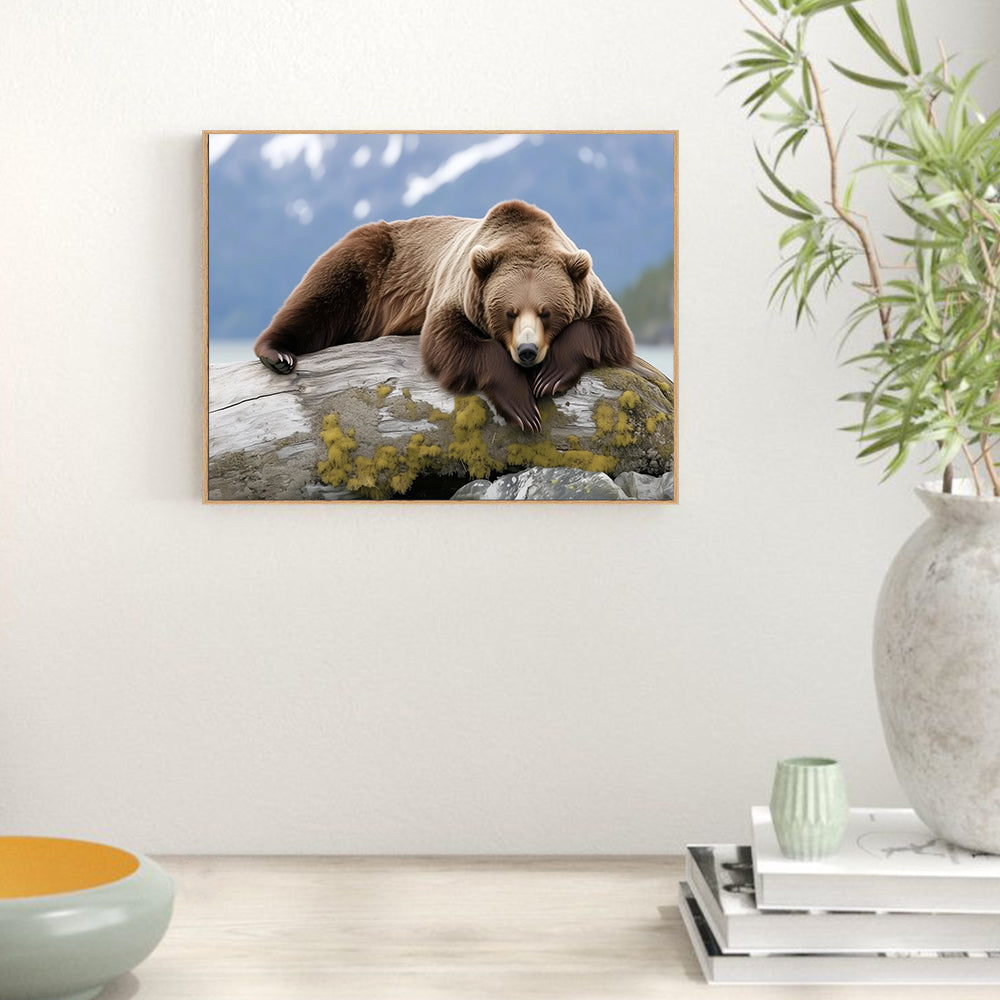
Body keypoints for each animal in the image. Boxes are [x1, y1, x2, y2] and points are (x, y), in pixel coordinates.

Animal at [253, 200, 636, 432]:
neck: (524, 233)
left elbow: (609, 330)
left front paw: (550, 376)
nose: (527, 352)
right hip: (371, 260)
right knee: (321, 295)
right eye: (509, 313)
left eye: (546, 312)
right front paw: (521, 405)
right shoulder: (457, 289)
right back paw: (277, 353)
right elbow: (449, 342)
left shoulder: (590, 290)